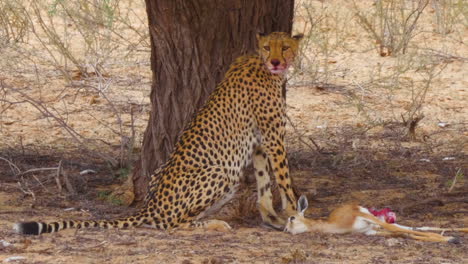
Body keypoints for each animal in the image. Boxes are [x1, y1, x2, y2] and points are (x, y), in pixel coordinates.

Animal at [13, 31, 304, 235]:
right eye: (267, 47)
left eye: (285, 46)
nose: (276, 61)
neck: (261, 63)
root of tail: (150, 205)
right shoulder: (273, 137)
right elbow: (283, 179)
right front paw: (296, 215)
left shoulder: (261, 142)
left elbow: (265, 182)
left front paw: (273, 219)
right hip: (222, 173)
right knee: (170, 224)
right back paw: (214, 224)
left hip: (170, 173)